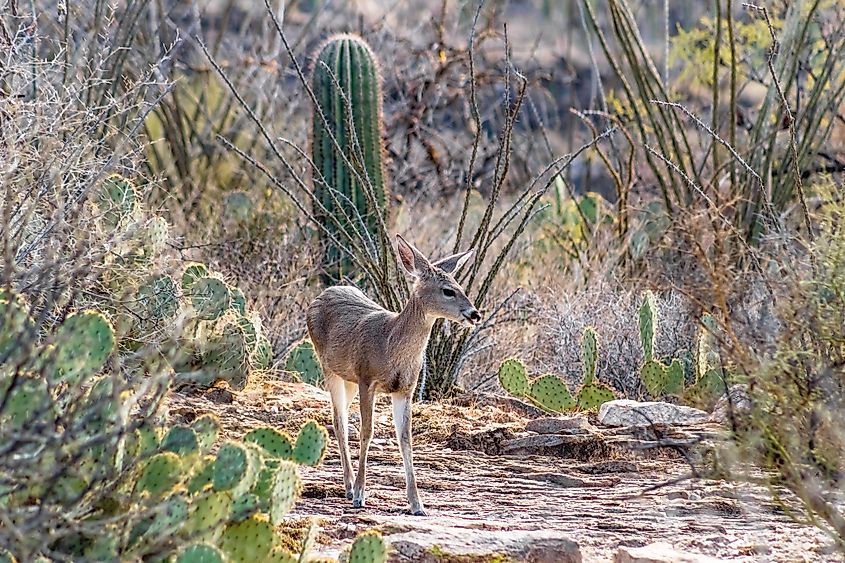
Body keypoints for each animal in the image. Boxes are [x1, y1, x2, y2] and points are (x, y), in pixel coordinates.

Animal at [306, 234, 482, 516]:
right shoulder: (367, 378)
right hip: (328, 367)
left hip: (347, 378)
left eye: (460, 286)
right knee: (339, 421)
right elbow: (367, 432)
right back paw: (348, 487)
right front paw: (360, 495)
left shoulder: (405, 390)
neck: (390, 344)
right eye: (448, 290)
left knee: (340, 419)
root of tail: (323, 293)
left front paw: (417, 504)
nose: (475, 314)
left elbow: (405, 439)